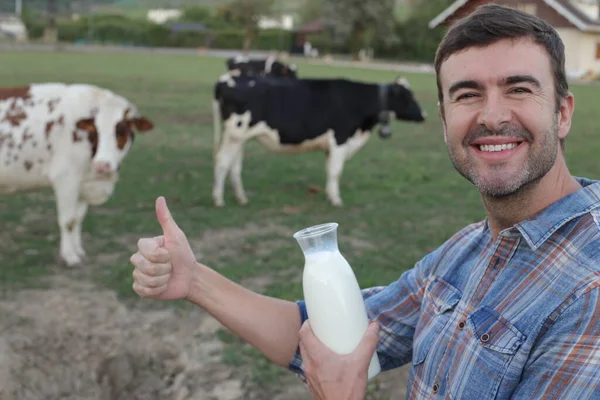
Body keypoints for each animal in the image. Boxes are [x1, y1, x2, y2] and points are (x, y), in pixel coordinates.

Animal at [0, 82, 154, 266]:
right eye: (95, 130)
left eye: (122, 130)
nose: (102, 165)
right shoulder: (66, 178)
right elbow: (68, 220)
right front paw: (69, 256)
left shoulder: (83, 183)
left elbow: (78, 219)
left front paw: (78, 250)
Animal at [211, 74, 426, 206]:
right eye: (408, 97)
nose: (424, 115)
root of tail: (227, 79)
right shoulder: (340, 140)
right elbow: (336, 172)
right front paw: (336, 200)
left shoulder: (331, 147)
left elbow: (330, 171)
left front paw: (330, 195)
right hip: (234, 135)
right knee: (222, 162)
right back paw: (218, 199)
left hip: (240, 138)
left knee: (234, 166)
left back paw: (241, 198)